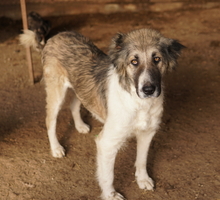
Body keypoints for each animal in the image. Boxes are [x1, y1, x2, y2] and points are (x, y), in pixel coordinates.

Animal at [19, 11, 184, 200]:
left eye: (157, 59)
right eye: (134, 62)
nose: (148, 89)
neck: (139, 103)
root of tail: (56, 36)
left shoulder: (147, 133)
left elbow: (142, 159)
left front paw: (143, 179)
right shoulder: (106, 143)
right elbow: (107, 176)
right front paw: (110, 195)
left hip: (80, 88)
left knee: (74, 104)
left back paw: (80, 126)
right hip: (56, 93)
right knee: (50, 120)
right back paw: (56, 148)